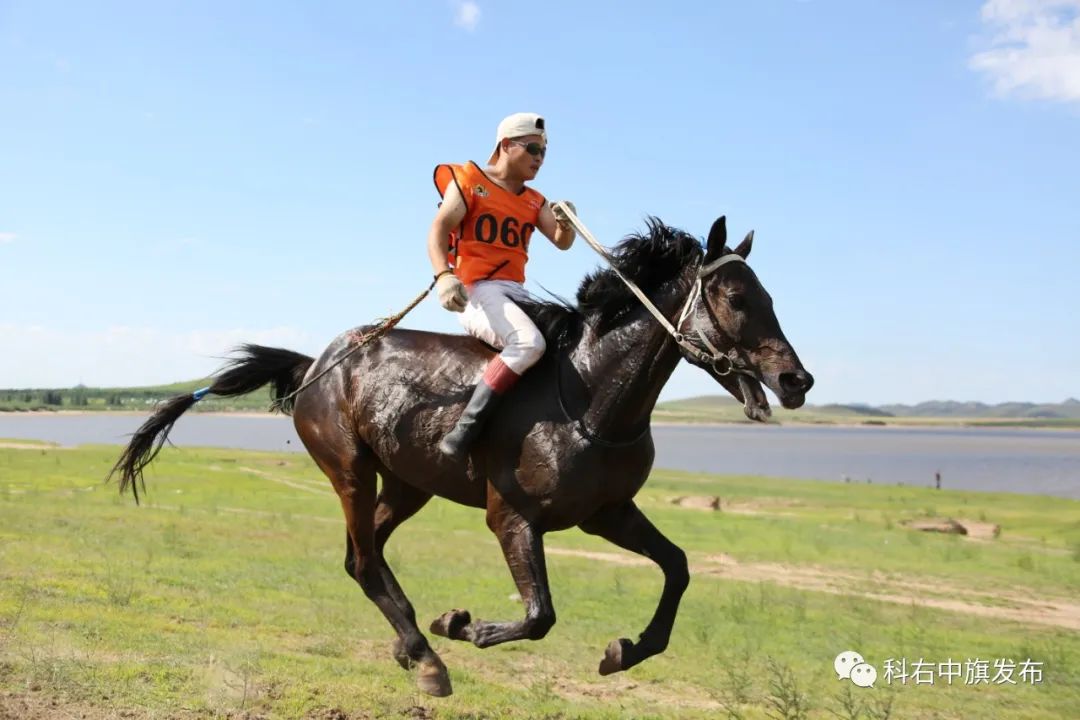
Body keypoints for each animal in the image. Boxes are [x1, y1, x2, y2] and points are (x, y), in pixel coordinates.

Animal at [109, 215, 812, 699]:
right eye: (737, 299)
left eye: (770, 298)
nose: (796, 379)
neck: (591, 398)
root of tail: (316, 364)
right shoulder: (513, 518)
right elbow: (540, 615)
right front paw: (461, 625)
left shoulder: (607, 513)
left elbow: (678, 568)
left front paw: (625, 650)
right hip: (350, 472)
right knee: (364, 560)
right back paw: (427, 655)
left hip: (407, 484)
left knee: (362, 557)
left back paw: (410, 646)